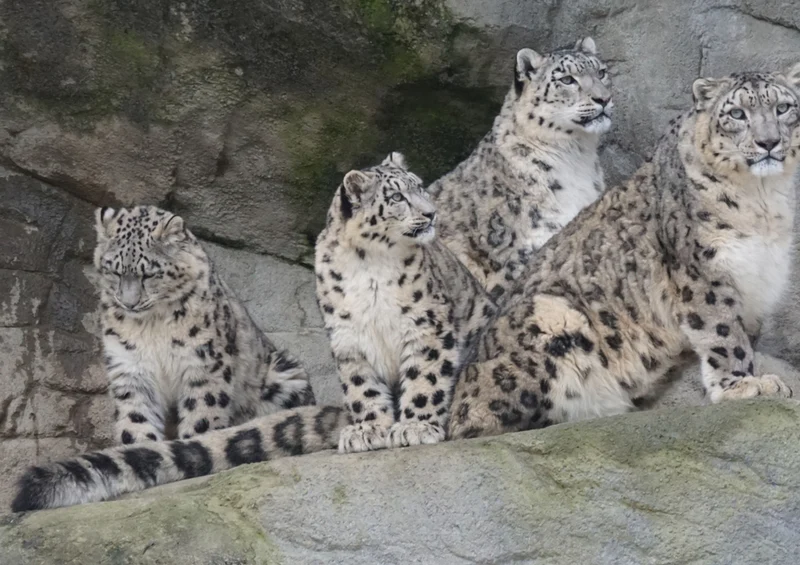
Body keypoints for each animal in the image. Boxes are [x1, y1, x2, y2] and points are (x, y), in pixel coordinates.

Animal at [92, 205, 315, 445]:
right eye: (114, 271)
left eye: (149, 274)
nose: (129, 303)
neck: (151, 326)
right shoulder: (130, 366)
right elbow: (136, 417)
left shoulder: (204, 360)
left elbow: (202, 412)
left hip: (284, 373)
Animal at [446, 64, 800, 440]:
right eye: (737, 114)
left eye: (782, 108)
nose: (768, 142)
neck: (762, 201)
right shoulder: (703, 272)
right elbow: (723, 334)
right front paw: (744, 386)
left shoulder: (757, 280)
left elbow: (743, 335)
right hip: (552, 316)